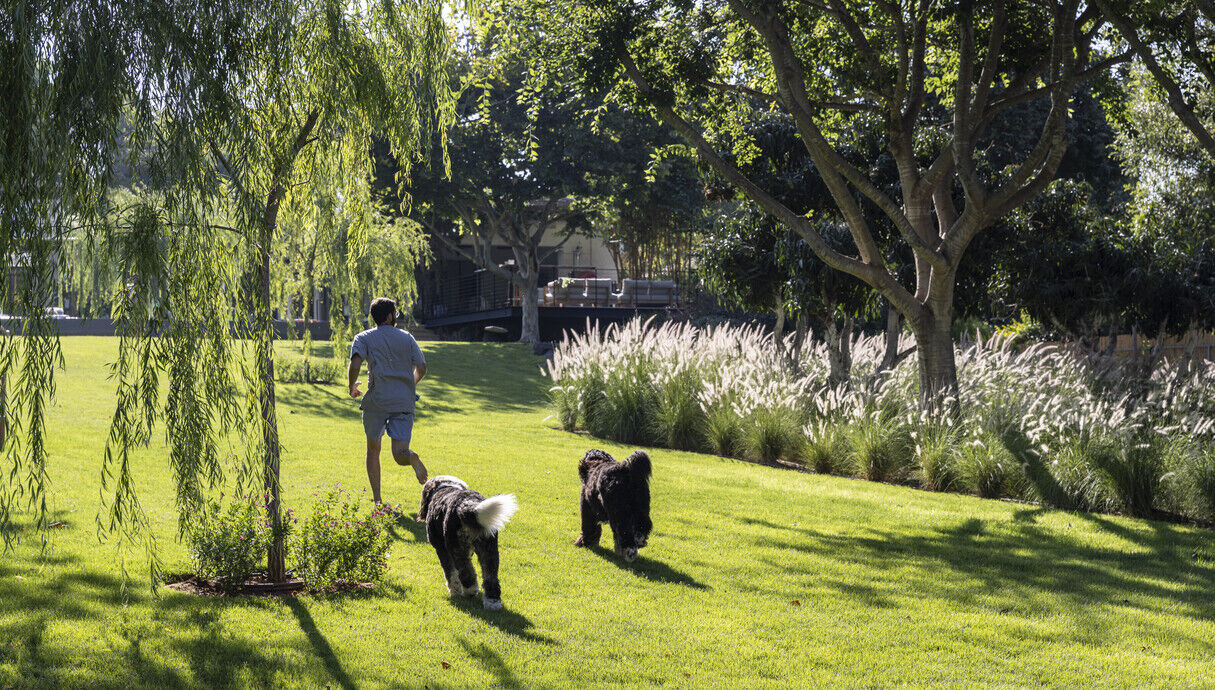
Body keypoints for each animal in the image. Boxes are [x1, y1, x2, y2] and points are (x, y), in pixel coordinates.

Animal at [417, 473, 517, 609]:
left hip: (457, 547)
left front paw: (454, 591)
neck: (444, 487)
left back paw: (470, 591)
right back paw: (493, 603)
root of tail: (467, 506)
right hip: (489, 550)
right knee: (491, 578)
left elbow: (450, 573)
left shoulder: (442, 549)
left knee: (466, 573)